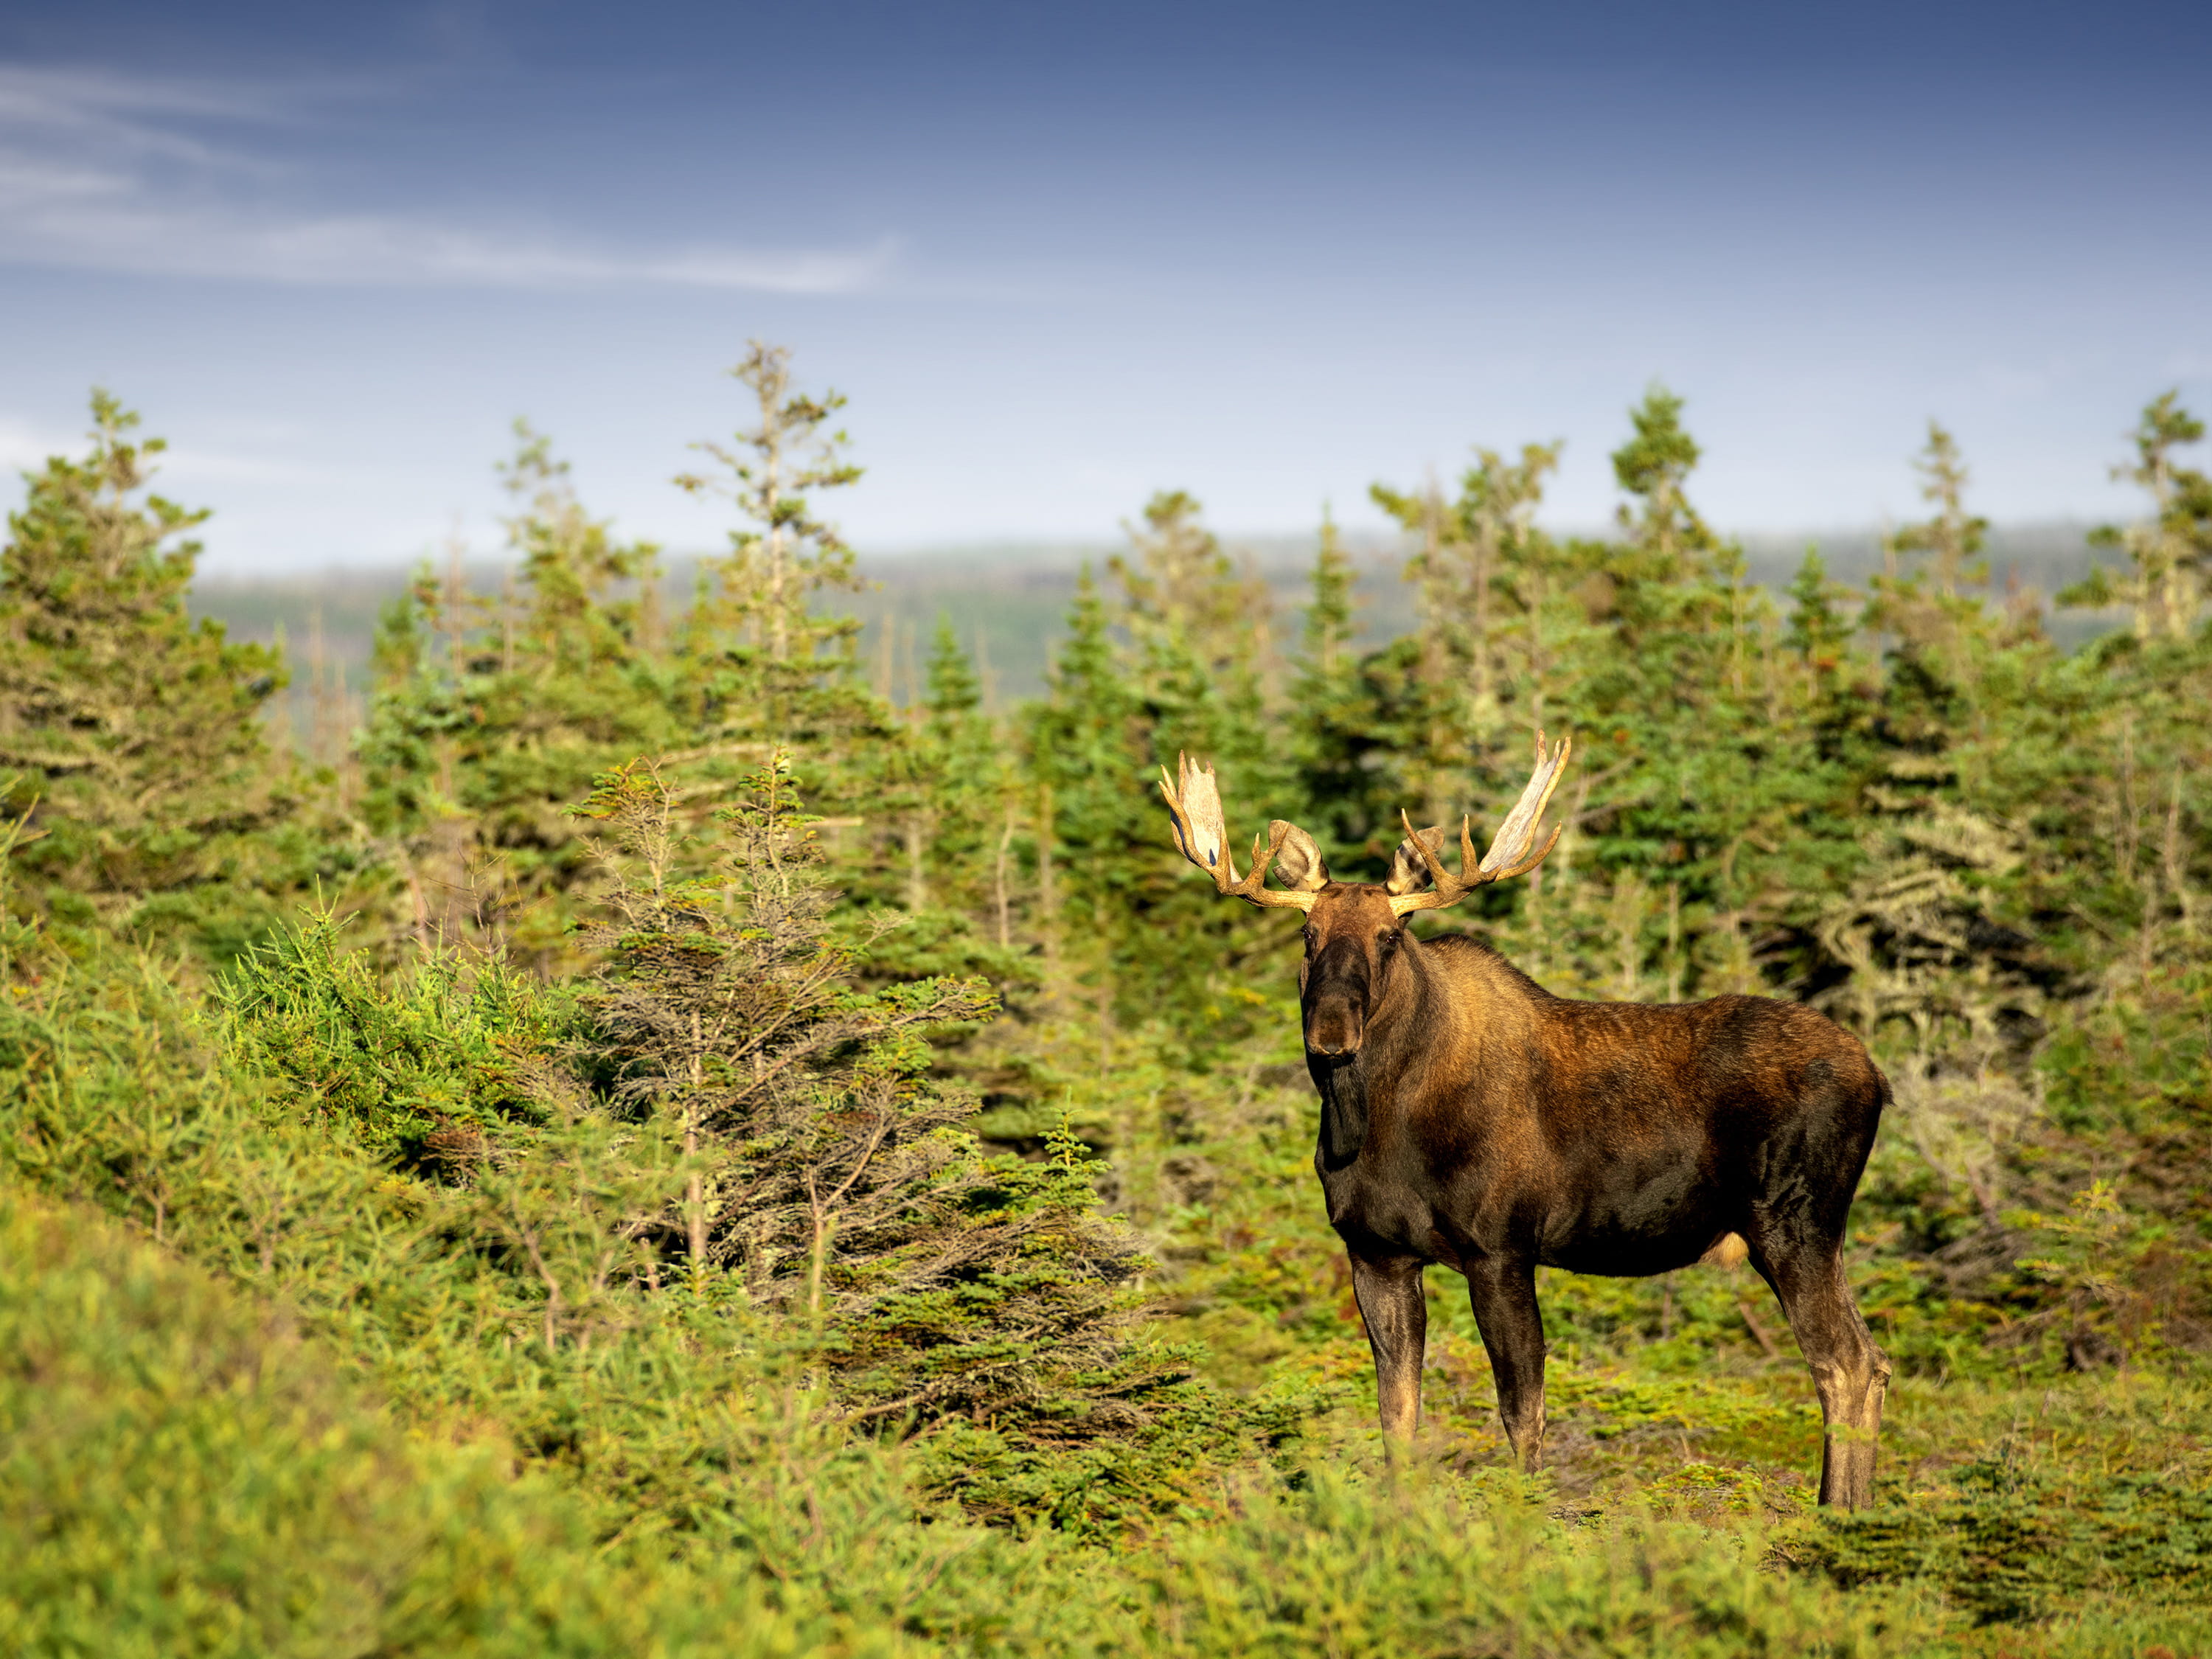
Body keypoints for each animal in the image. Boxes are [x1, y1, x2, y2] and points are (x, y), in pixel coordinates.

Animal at [1159, 734, 1902, 1513]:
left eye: (1390, 936)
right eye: (1308, 934)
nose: (1332, 1031)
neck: (1376, 1123)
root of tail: (1876, 1079)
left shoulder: (1502, 1248)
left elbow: (1523, 1411)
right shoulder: (1375, 1252)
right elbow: (1398, 1414)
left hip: (1795, 1222)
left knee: (1847, 1364)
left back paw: (1838, 1517)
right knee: (1868, 1361)